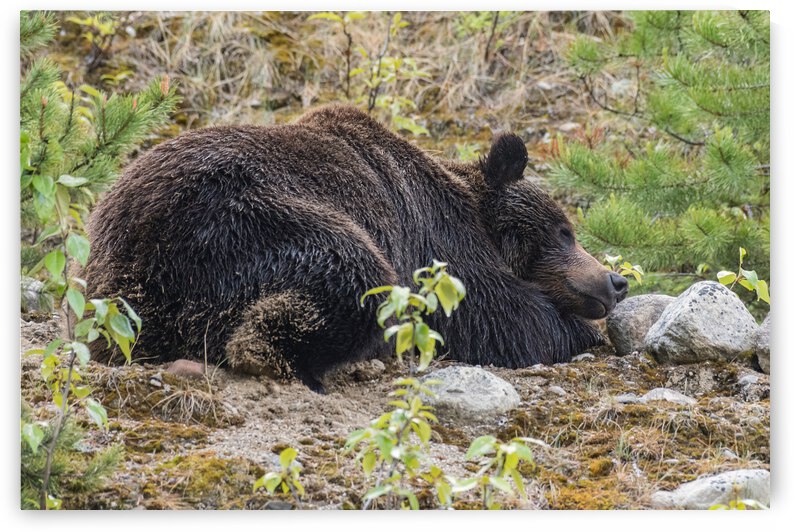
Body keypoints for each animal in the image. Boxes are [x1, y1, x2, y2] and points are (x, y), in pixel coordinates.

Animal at [83, 104, 628, 392]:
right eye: (564, 231)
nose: (615, 280)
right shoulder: (435, 241)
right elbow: (494, 315)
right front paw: (576, 330)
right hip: (242, 222)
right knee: (354, 277)